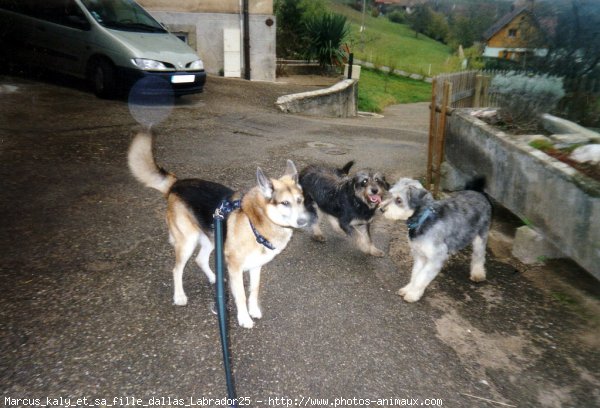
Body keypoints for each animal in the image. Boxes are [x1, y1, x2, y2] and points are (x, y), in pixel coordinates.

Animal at [126, 131, 304, 328]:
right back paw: (179, 296)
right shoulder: (235, 267)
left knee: (200, 259)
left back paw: (214, 278)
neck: (255, 221)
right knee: (177, 269)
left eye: (300, 200)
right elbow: (241, 295)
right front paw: (244, 318)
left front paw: (254, 310)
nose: (304, 221)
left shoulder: (256, 265)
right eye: (285, 203)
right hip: (188, 242)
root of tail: (176, 184)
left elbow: (254, 290)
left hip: (213, 238)